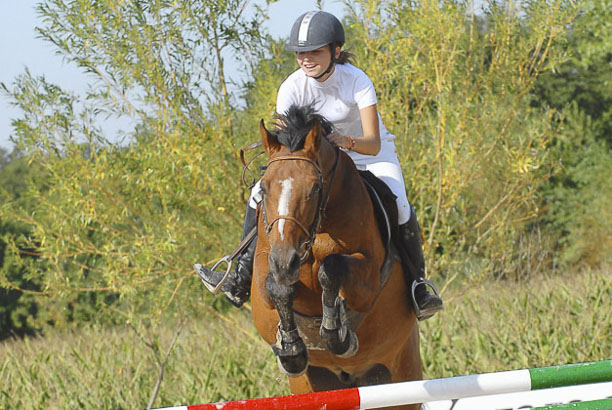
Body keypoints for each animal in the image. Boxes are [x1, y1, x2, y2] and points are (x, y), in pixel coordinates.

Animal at [251, 105, 424, 406]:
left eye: (315, 188)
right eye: (264, 187)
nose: (286, 263)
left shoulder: (367, 283)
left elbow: (330, 268)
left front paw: (335, 334)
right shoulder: (265, 263)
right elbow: (276, 286)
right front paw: (292, 349)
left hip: (402, 375)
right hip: (312, 385)